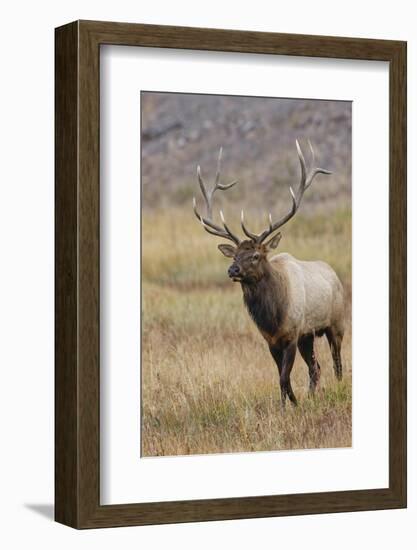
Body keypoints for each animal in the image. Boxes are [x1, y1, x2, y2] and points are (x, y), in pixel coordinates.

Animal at [192, 142, 344, 410]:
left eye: (255, 255)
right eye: (234, 256)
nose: (232, 270)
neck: (273, 317)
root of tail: (334, 274)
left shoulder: (291, 334)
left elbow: (284, 376)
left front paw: (289, 407)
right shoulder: (272, 340)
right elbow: (280, 377)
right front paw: (290, 404)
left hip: (336, 323)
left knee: (337, 362)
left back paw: (337, 387)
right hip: (308, 336)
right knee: (315, 368)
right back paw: (313, 396)